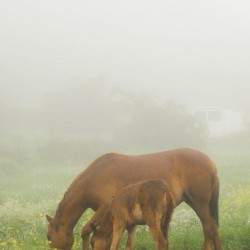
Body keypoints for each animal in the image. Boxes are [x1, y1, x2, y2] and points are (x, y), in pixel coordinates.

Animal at [46, 147, 222, 249]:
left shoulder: (104, 209)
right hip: (195, 203)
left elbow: (86, 231)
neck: (94, 179)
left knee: (208, 227)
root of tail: (211, 162)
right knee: (213, 227)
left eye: (49, 237)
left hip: (199, 203)